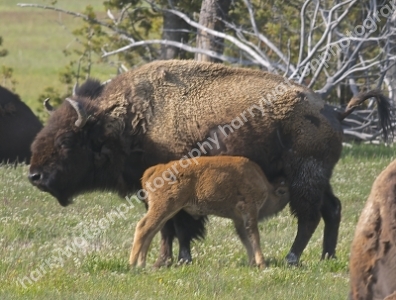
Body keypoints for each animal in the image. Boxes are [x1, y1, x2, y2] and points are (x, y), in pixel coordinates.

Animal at [130, 156, 288, 268]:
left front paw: (252, 263)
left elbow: (246, 239)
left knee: (151, 231)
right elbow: (254, 236)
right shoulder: (249, 212)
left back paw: (141, 264)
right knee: (143, 227)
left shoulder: (238, 219)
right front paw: (262, 264)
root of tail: (157, 168)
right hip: (164, 208)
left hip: (165, 211)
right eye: (284, 192)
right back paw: (132, 264)